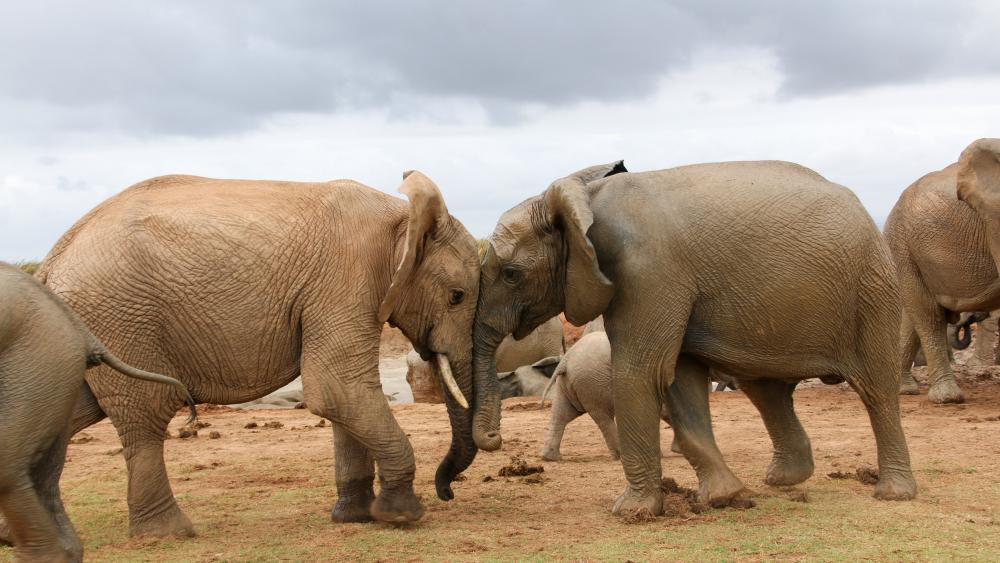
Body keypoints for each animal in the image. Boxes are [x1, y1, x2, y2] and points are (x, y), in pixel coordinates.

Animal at [27, 170, 482, 536]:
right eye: (457, 297)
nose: (447, 494)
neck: (403, 217)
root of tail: (50, 262)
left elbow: (343, 395)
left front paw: (354, 517)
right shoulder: (347, 278)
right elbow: (336, 388)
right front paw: (401, 516)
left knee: (74, 411)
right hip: (121, 317)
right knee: (144, 416)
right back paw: (168, 533)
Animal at [471, 159, 916, 518]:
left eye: (511, 274)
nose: (494, 439)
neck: (581, 199)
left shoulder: (647, 272)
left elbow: (642, 371)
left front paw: (630, 513)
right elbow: (678, 378)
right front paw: (722, 499)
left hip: (872, 289)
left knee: (875, 389)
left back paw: (893, 494)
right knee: (766, 390)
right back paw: (784, 480)